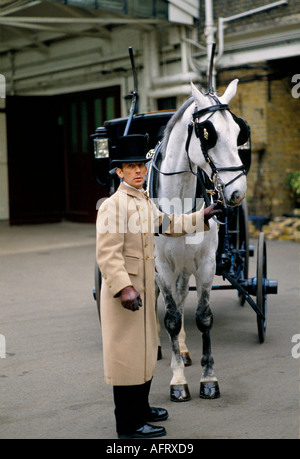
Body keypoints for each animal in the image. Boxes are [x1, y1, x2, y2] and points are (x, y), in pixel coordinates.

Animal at [154, 80, 247, 402]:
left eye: (238, 132)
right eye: (207, 133)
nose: (237, 193)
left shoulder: (205, 263)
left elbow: (202, 317)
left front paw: (208, 378)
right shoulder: (162, 267)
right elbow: (170, 318)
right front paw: (177, 381)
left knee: (182, 298)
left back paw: (182, 351)